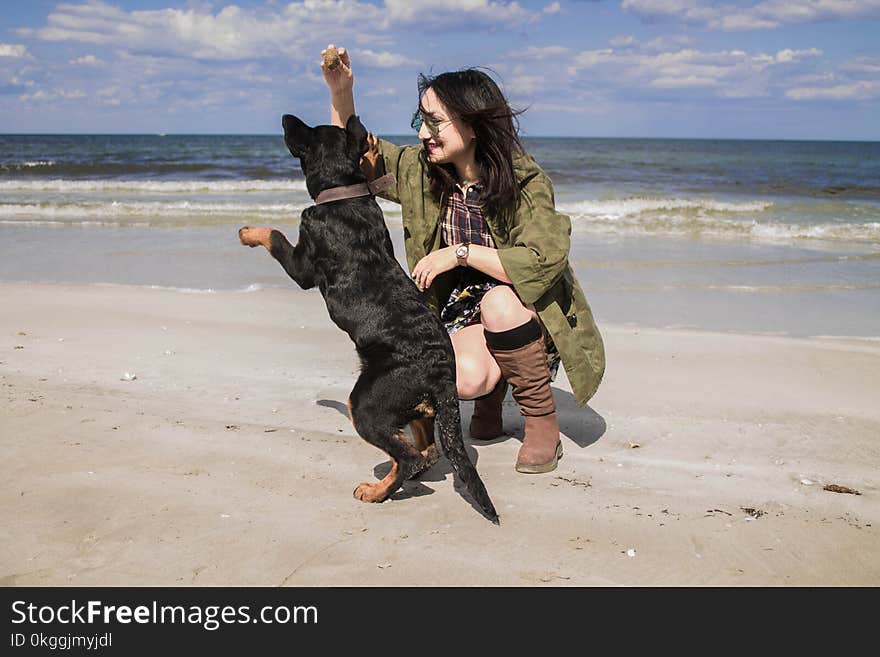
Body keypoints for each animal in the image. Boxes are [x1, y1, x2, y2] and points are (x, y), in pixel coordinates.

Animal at [237, 114, 498, 524]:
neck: (344, 192)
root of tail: (442, 368)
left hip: (366, 403)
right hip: (411, 407)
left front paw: (249, 232)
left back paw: (376, 492)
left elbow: (274, 234)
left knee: (409, 456)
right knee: (423, 450)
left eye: (307, 132)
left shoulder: (301, 266)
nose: (286, 119)